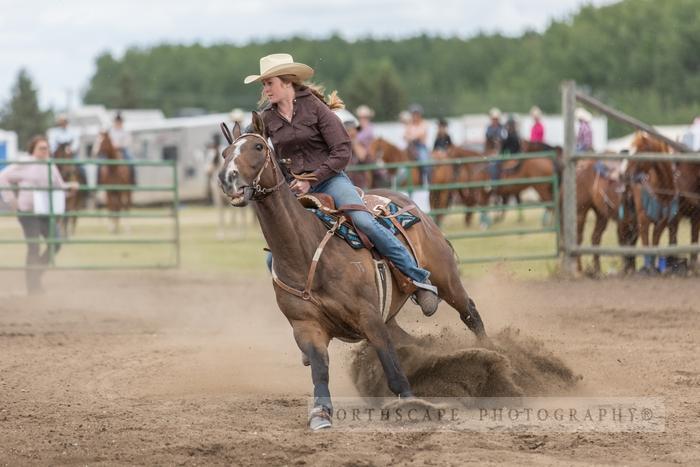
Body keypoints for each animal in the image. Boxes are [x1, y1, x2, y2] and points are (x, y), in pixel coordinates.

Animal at [219, 113, 486, 432]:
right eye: (225, 153)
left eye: (258, 147)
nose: (227, 178)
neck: (306, 250)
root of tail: (412, 206)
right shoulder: (307, 326)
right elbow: (320, 370)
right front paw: (321, 413)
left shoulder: (368, 316)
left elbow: (390, 363)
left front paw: (411, 404)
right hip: (392, 314)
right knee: (414, 340)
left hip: (446, 279)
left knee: (469, 312)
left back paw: (489, 351)